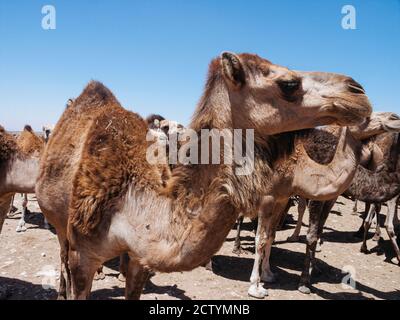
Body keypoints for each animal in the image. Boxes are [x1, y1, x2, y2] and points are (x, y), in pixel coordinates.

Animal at [35, 51, 372, 298]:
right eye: (288, 84)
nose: (358, 91)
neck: (130, 203)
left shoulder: (139, 259)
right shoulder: (83, 255)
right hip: (62, 226)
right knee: (62, 252)